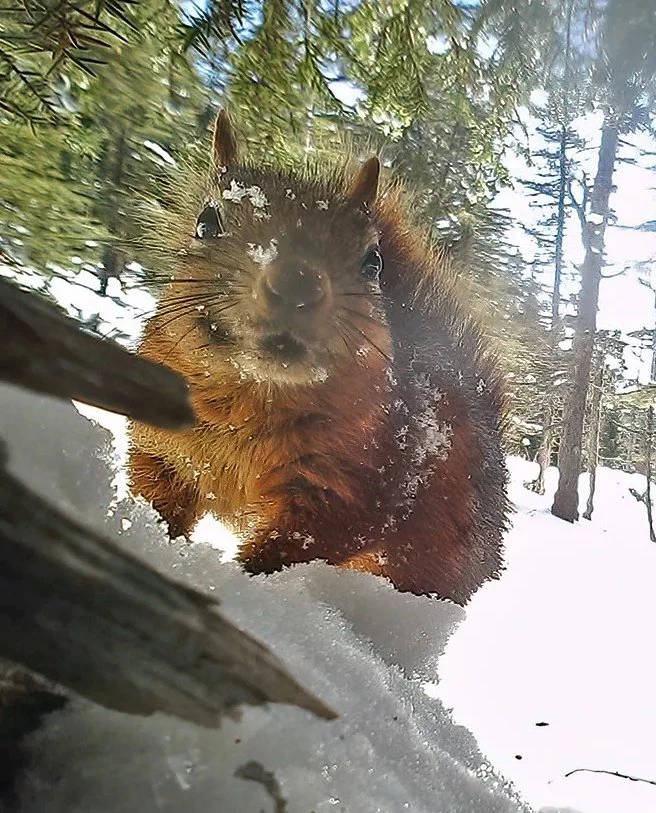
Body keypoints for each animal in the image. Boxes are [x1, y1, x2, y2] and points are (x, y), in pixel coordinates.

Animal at [127, 109, 508, 604]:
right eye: (206, 223)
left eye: (373, 262)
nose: (298, 283)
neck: (251, 396)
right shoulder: (163, 447)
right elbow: (157, 499)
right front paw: (151, 541)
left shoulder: (357, 480)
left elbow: (298, 546)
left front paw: (247, 585)